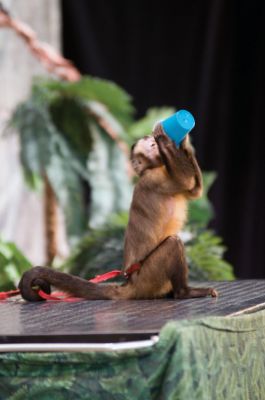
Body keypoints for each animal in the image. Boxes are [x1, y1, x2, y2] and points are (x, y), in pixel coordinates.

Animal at [19, 125, 217, 300]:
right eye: (153, 146)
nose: (156, 142)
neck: (153, 168)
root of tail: (130, 284)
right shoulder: (153, 179)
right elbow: (186, 182)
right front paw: (166, 140)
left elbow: (195, 190)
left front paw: (183, 141)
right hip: (149, 277)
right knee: (173, 243)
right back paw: (183, 293)